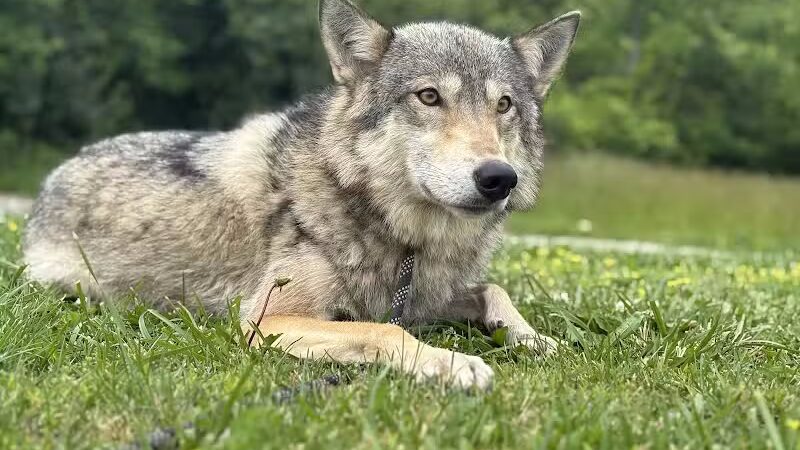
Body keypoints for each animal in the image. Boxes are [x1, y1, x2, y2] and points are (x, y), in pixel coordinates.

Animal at [23, 0, 580, 389]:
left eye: (504, 105)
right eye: (429, 96)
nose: (499, 178)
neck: (405, 241)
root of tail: (53, 177)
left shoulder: (423, 300)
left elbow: (494, 290)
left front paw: (537, 338)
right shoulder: (264, 320)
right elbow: (383, 331)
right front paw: (455, 363)